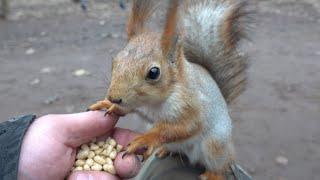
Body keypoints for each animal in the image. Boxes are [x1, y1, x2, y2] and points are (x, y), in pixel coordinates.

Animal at [89, 0, 249, 179]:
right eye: (114, 61)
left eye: (154, 72)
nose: (114, 98)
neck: (151, 103)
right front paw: (110, 105)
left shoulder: (192, 107)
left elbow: (184, 127)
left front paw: (145, 139)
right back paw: (165, 150)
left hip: (215, 146)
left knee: (221, 165)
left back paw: (212, 174)